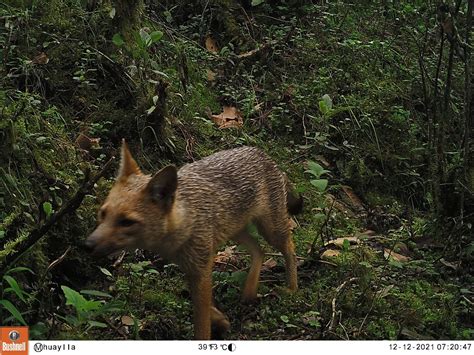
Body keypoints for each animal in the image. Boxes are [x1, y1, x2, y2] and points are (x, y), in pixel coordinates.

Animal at [84, 140, 302, 340]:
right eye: (102, 214)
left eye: (126, 222)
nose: (87, 245)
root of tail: (262, 154)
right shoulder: (192, 267)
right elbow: (202, 305)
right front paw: (221, 320)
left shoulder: (201, 268)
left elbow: (201, 323)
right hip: (236, 232)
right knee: (259, 250)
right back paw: (249, 293)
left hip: (272, 231)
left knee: (290, 249)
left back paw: (291, 289)